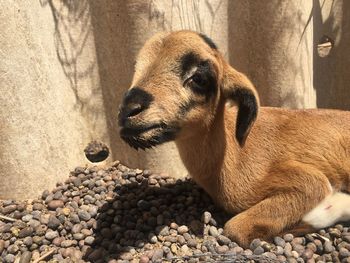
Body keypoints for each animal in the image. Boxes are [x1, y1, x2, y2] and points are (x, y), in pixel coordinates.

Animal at [118, 30, 350, 248]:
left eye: (199, 79)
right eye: (136, 67)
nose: (128, 111)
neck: (233, 156)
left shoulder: (308, 181)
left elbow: (236, 228)